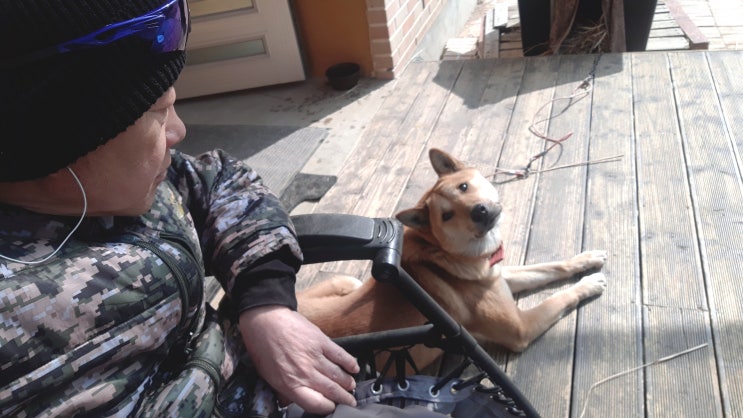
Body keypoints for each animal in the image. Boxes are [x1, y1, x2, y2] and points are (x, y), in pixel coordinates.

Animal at [298, 148, 607, 355]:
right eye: (446, 216)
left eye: (464, 186)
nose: (479, 211)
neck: (450, 257)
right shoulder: (521, 327)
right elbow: (557, 298)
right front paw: (588, 284)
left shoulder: (499, 275)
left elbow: (552, 267)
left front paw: (586, 260)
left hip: (345, 282)